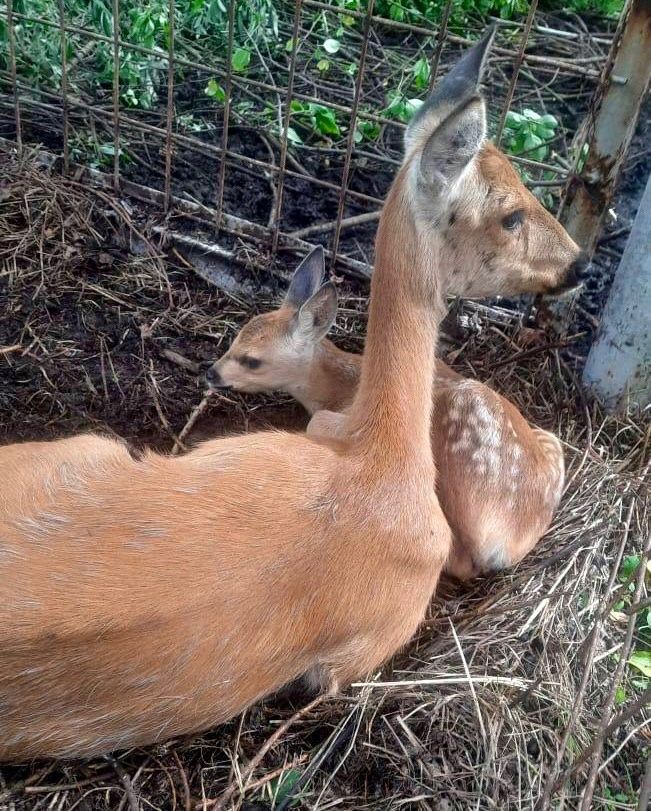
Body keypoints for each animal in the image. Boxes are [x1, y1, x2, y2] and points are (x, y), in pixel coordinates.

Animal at [208, 251, 564, 580]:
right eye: (236, 336)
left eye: (252, 361)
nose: (212, 373)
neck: (339, 386)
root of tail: (514, 536)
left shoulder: (337, 421)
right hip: (550, 440)